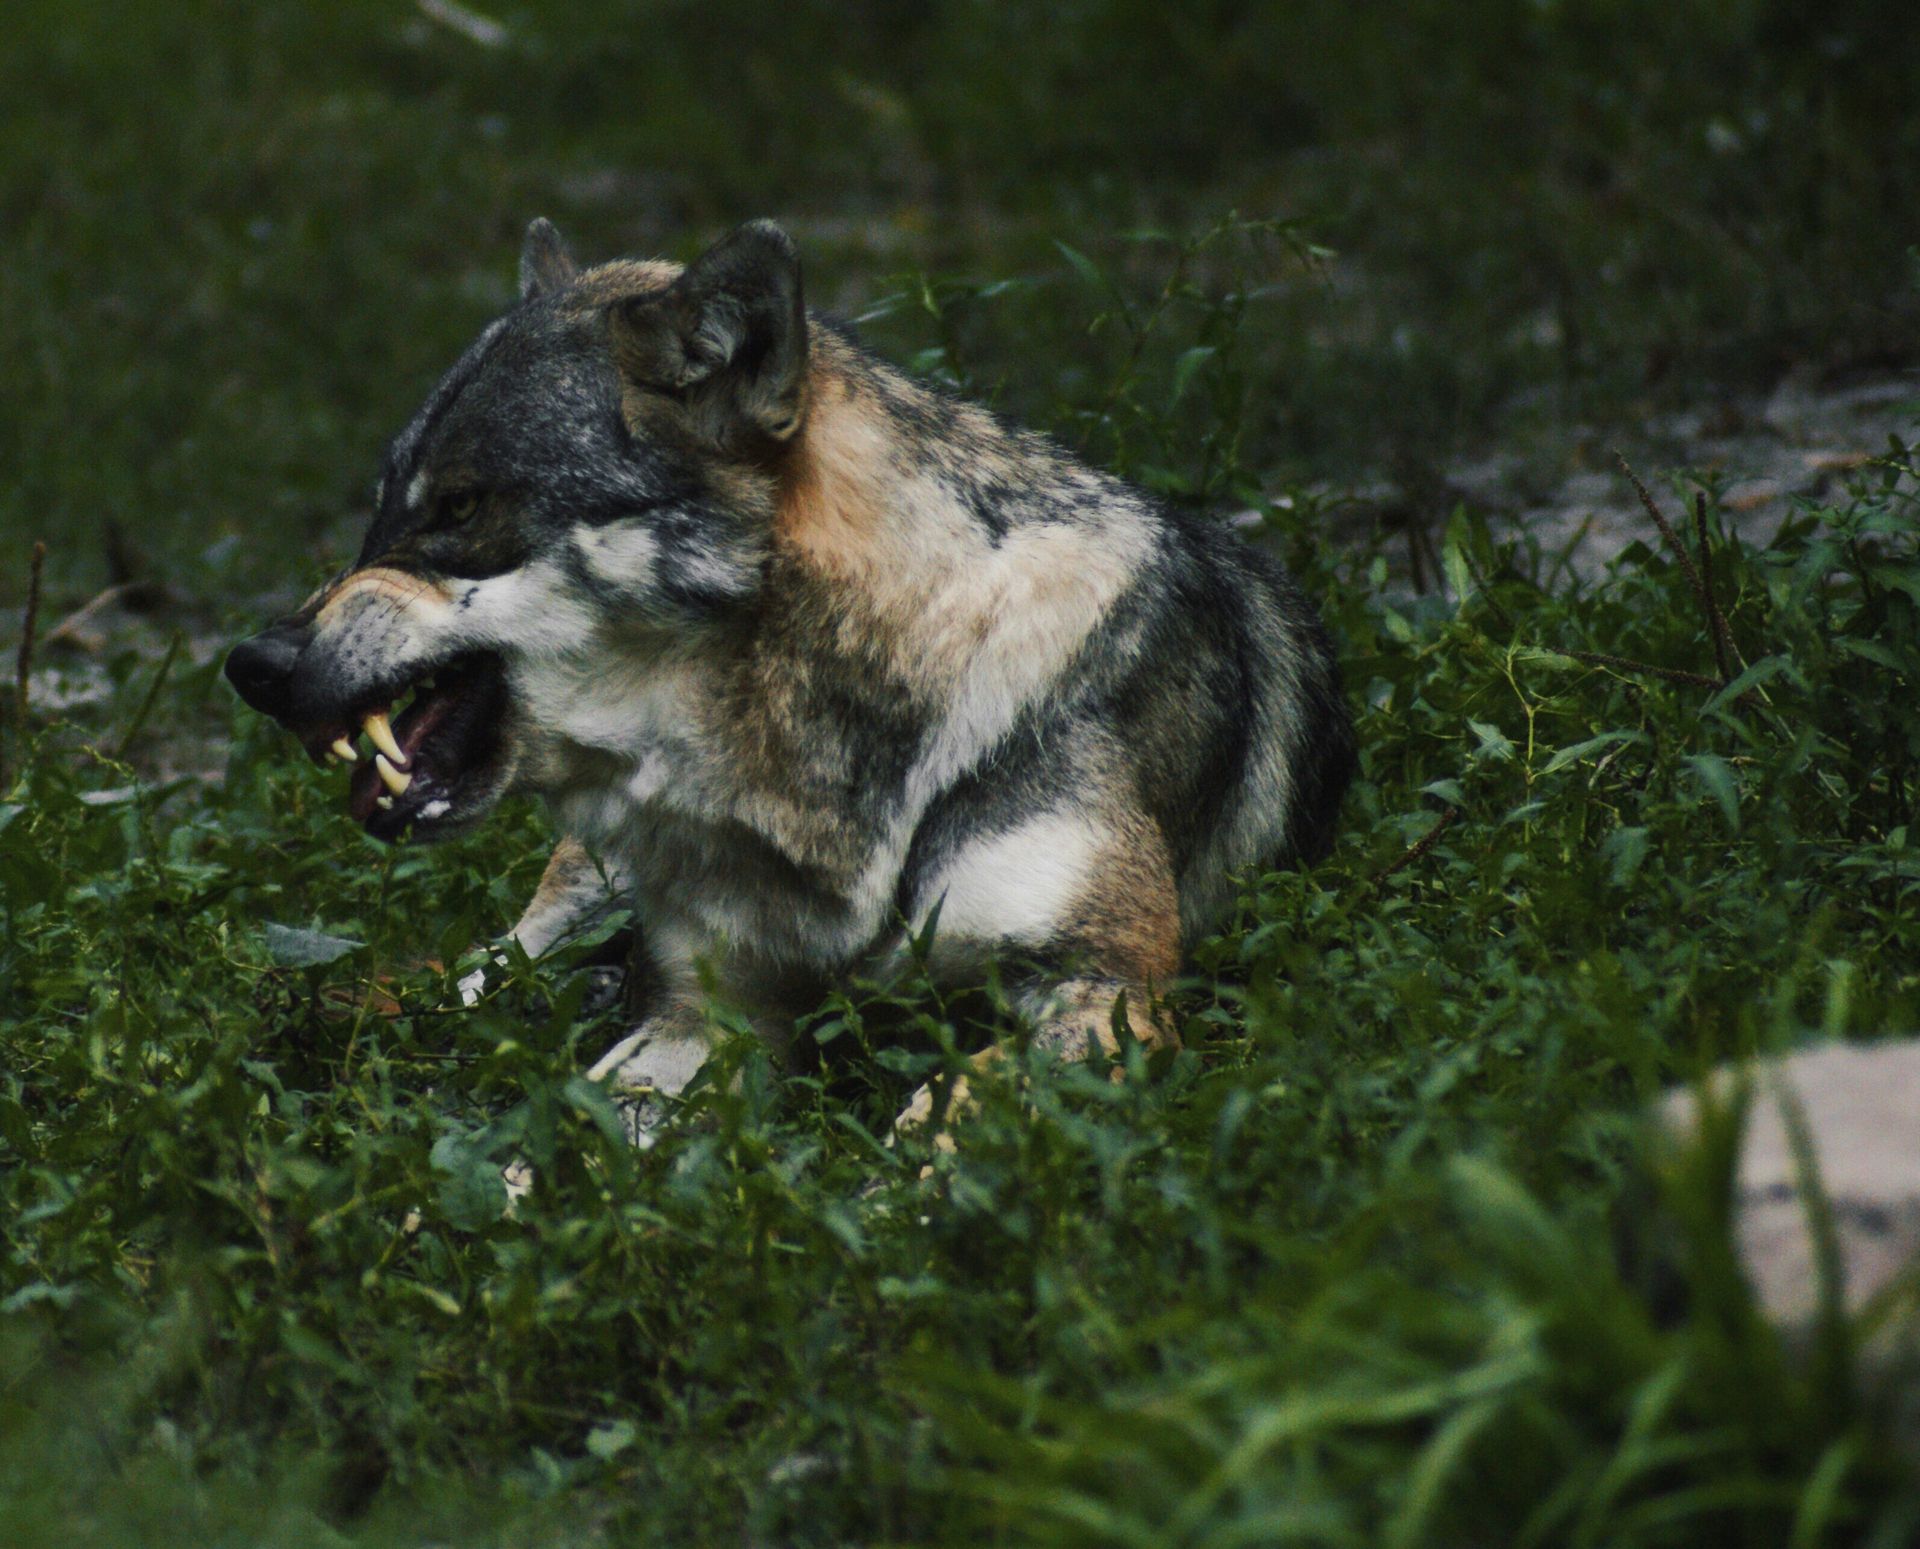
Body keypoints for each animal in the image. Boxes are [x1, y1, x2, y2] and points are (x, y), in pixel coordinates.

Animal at [225, 218, 1355, 1136]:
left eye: (459, 506)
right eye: (382, 508)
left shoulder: (1107, 987)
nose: (252, 664)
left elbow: (941, 1115)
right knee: (467, 986)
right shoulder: (707, 1016)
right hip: (568, 906)